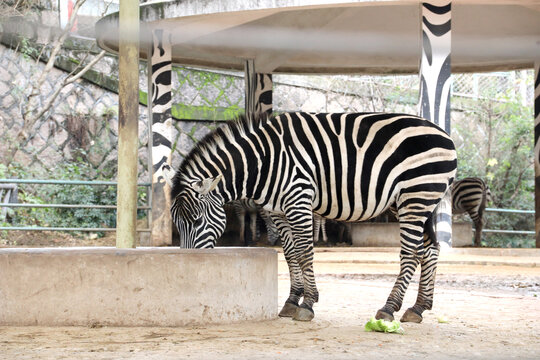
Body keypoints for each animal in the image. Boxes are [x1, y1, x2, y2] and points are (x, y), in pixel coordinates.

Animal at [168, 112, 456, 324]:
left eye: (196, 221)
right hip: (411, 202)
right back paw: (418, 308)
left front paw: (307, 304)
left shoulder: (299, 200)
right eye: (178, 225)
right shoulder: (278, 211)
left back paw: (389, 307)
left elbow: (305, 252)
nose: (188, 265)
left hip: (416, 196)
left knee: (411, 252)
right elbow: (290, 254)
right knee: (430, 250)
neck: (262, 163)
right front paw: (291, 301)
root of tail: (444, 134)